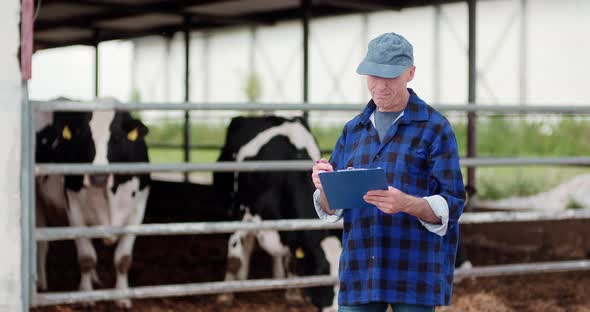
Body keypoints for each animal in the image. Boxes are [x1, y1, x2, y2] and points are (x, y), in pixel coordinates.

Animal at [35, 101, 151, 308]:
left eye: (117, 137)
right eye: (84, 138)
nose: (99, 177)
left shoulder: (138, 211)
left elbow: (123, 259)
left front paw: (122, 296)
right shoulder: (74, 210)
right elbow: (86, 258)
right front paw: (86, 295)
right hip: (37, 200)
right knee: (42, 243)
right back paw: (41, 282)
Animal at [215, 116, 340, 310]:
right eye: (320, 273)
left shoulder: (292, 228)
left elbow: (292, 260)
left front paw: (293, 295)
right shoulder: (242, 213)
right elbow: (234, 257)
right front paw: (225, 296)